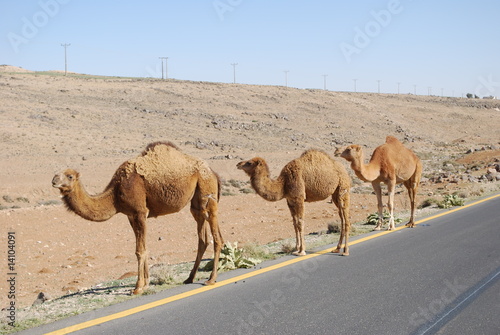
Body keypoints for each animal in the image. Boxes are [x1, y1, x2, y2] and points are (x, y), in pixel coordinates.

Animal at [51, 143, 222, 296]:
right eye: (57, 174)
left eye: (69, 176)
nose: (54, 180)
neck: (115, 194)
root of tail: (213, 172)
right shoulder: (131, 216)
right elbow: (144, 248)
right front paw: (146, 283)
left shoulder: (140, 212)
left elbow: (139, 250)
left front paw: (137, 288)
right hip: (197, 202)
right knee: (203, 237)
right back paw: (189, 278)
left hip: (207, 190)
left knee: (216, 236)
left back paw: (211, 279)